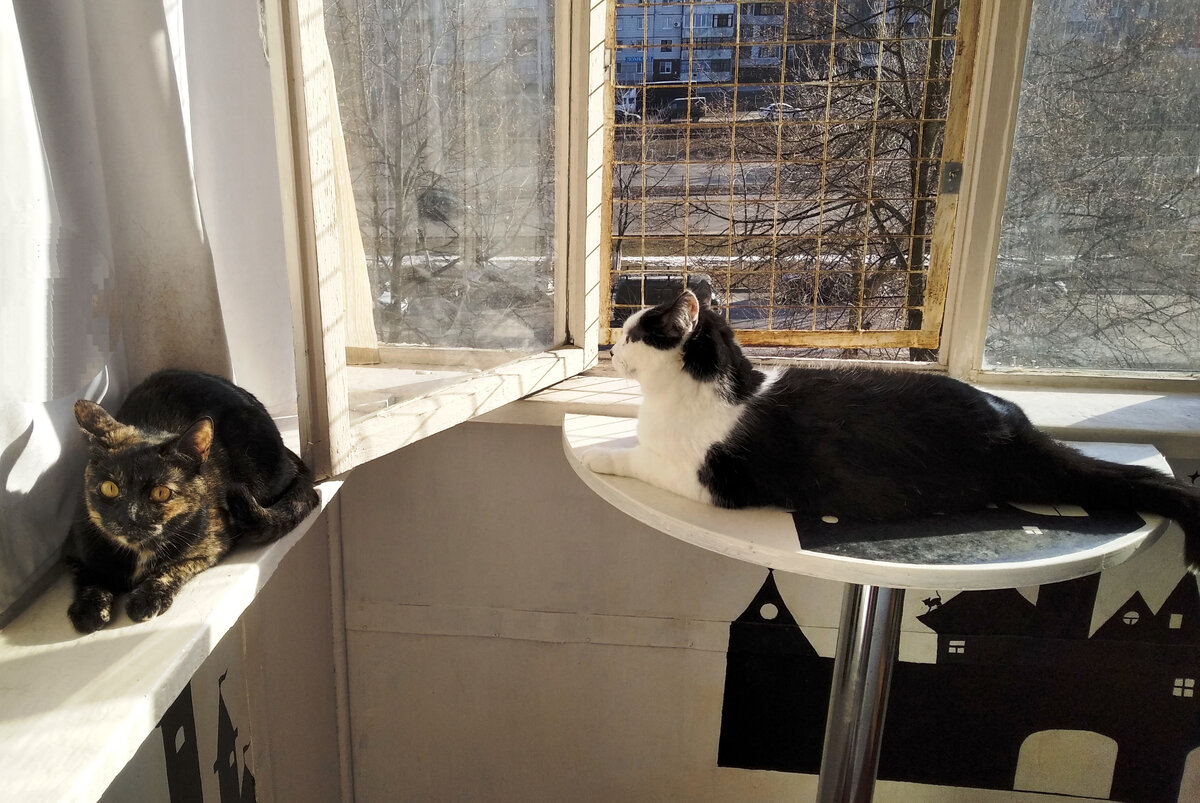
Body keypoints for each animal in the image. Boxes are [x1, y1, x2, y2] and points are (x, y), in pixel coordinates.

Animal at [66, 369, 320, 633]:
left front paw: (148, 598)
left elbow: (176, 566)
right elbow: (88, 577)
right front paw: (89, 610)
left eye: (161, 493)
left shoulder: (212, 544)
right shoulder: (74, 552)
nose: (130, 517)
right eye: (109, 488)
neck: (139, 553)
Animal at [582, 290, 1200, 573]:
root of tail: (1015, 426)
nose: (612, 351)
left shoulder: (706, 478)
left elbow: (635, 455)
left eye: (635, 334)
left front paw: (598, 455)